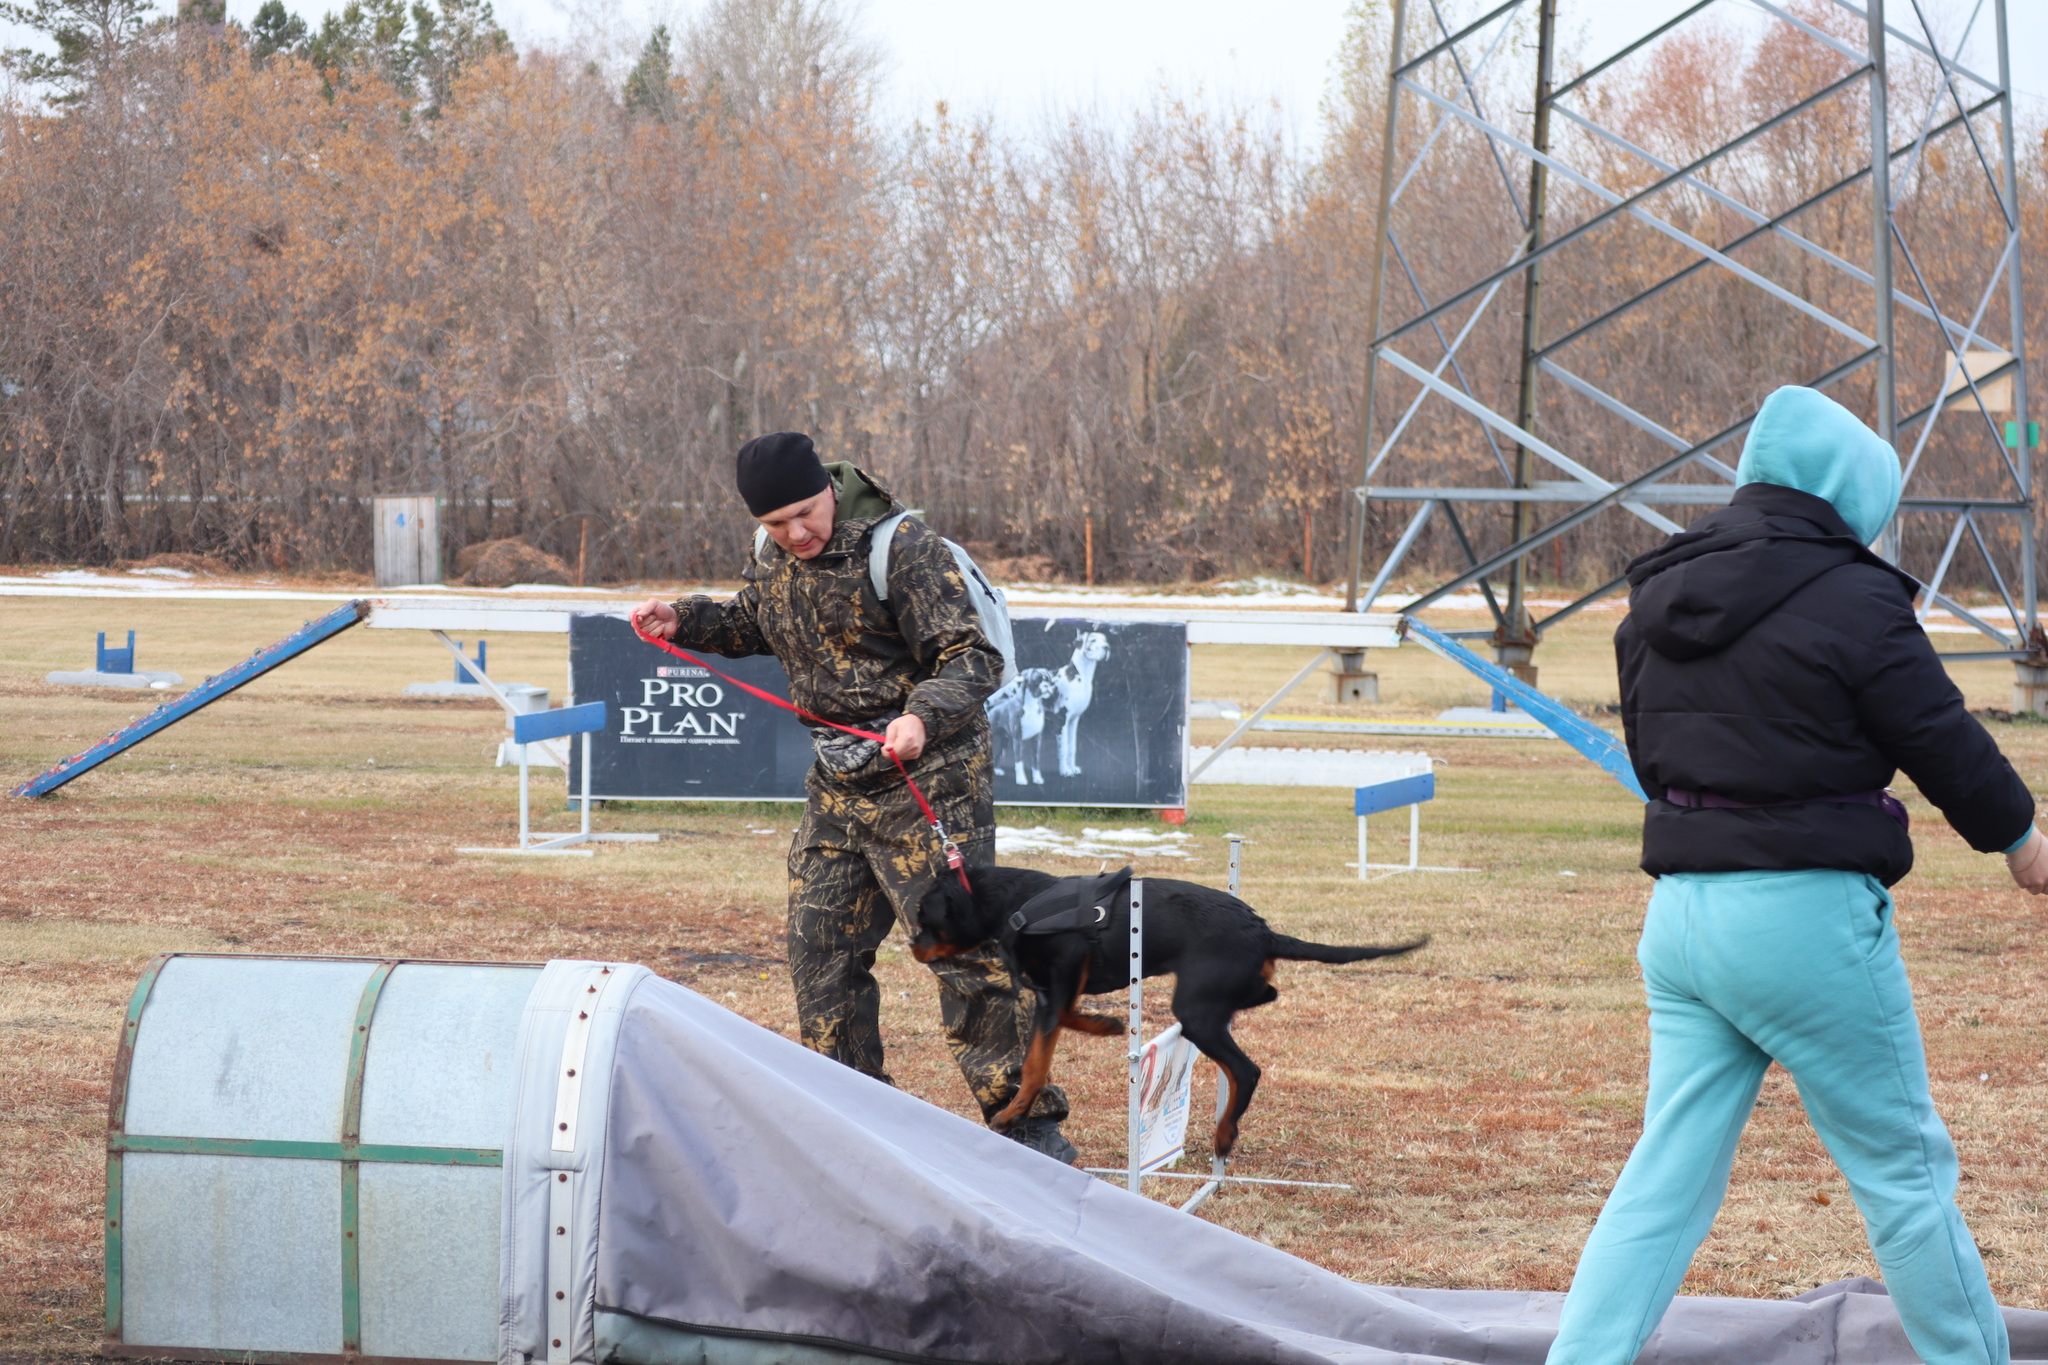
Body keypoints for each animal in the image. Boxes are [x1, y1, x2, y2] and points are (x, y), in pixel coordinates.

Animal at [913, 863, 1425, 1154]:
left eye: (924, 916)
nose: (912, 946)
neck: (1015, 904)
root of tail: (1264, 931)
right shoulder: (1050, 991)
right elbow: (1050, 1040)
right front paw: (1102, 1026)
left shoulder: (1066, 968)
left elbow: (1050, 1044)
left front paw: (1015, 1112)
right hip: (1213, 1001)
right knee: (1265, 999)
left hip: (1195, 1011)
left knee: (1247, 1070)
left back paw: (1224, 1135)